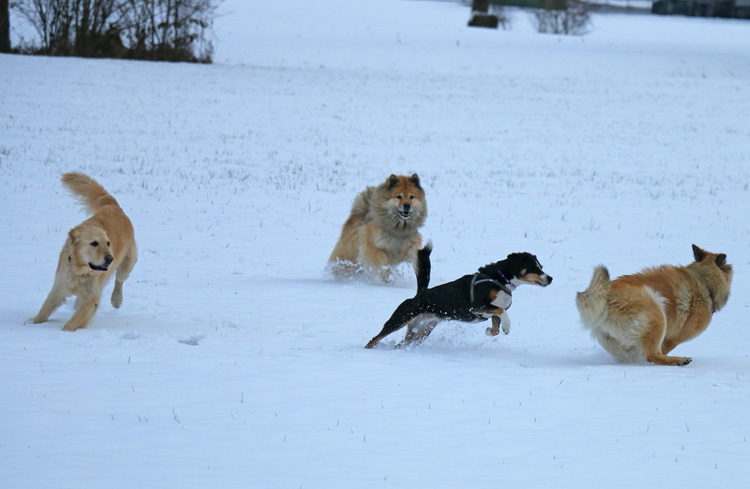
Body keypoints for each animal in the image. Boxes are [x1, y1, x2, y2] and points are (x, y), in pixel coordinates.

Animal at [28, 173, 140, 332]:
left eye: (108, 243)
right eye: (94, 243)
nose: (110, 258)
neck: (79, 270)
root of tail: (114, 206)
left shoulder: (91, 298)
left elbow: (72, 322)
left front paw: (65, 332)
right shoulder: (59, 287)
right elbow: (44, 310)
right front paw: (33, 325)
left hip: (126, 263)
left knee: (119, 280)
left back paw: (116, 299)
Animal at [368, 246, 556, 348]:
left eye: (541, 266)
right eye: (534, 267)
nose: (550, 278)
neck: (499, 279)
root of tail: (419, 294)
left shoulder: (490, 311)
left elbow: (496, 326)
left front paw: (490, 331)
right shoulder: (476, 306)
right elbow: (502, 311)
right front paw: (507, 327)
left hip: (421, 331)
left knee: (401, 344)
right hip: (400, 318)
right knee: (375, 338)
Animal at [576, 246, 736, 364]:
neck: (704, 283)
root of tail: (606, 297)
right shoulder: (673, 338)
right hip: (657, 312)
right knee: (653, 355)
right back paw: (678, 360)